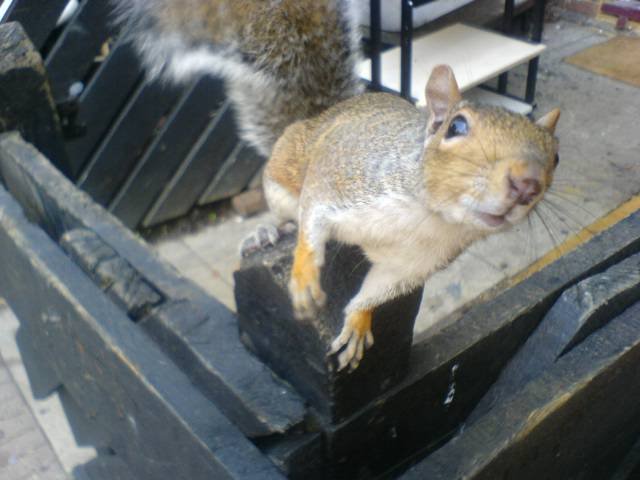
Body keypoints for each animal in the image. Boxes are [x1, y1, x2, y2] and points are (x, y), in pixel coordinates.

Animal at [116, 1, 561, 371]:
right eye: (457, 127)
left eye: (556, 157)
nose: (527, 184)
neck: (428, 215)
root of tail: (319, 116)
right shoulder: (339, 179)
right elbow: (312, 221)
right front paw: (303, 277)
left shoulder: (411, 266)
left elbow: (375, 292)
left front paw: (359, 323)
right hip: (282, 181)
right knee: (288, 217)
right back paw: (266, 232)